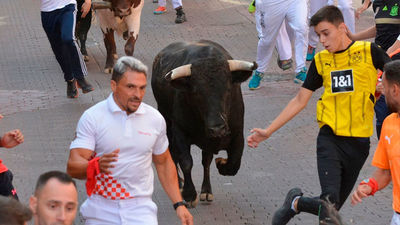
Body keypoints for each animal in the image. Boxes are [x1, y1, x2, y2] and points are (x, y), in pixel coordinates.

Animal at [150, 40, 256, 207]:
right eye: (197, 93)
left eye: (228, 89)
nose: (217, 129)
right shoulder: (179, 131)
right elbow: (186, 161)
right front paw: (189, 194)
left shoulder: (238, 133)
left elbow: (233, 163)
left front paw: (221, 163)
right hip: (166, 122)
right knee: (172, 153)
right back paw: (178, 183)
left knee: (206, 160)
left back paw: (206, 191)